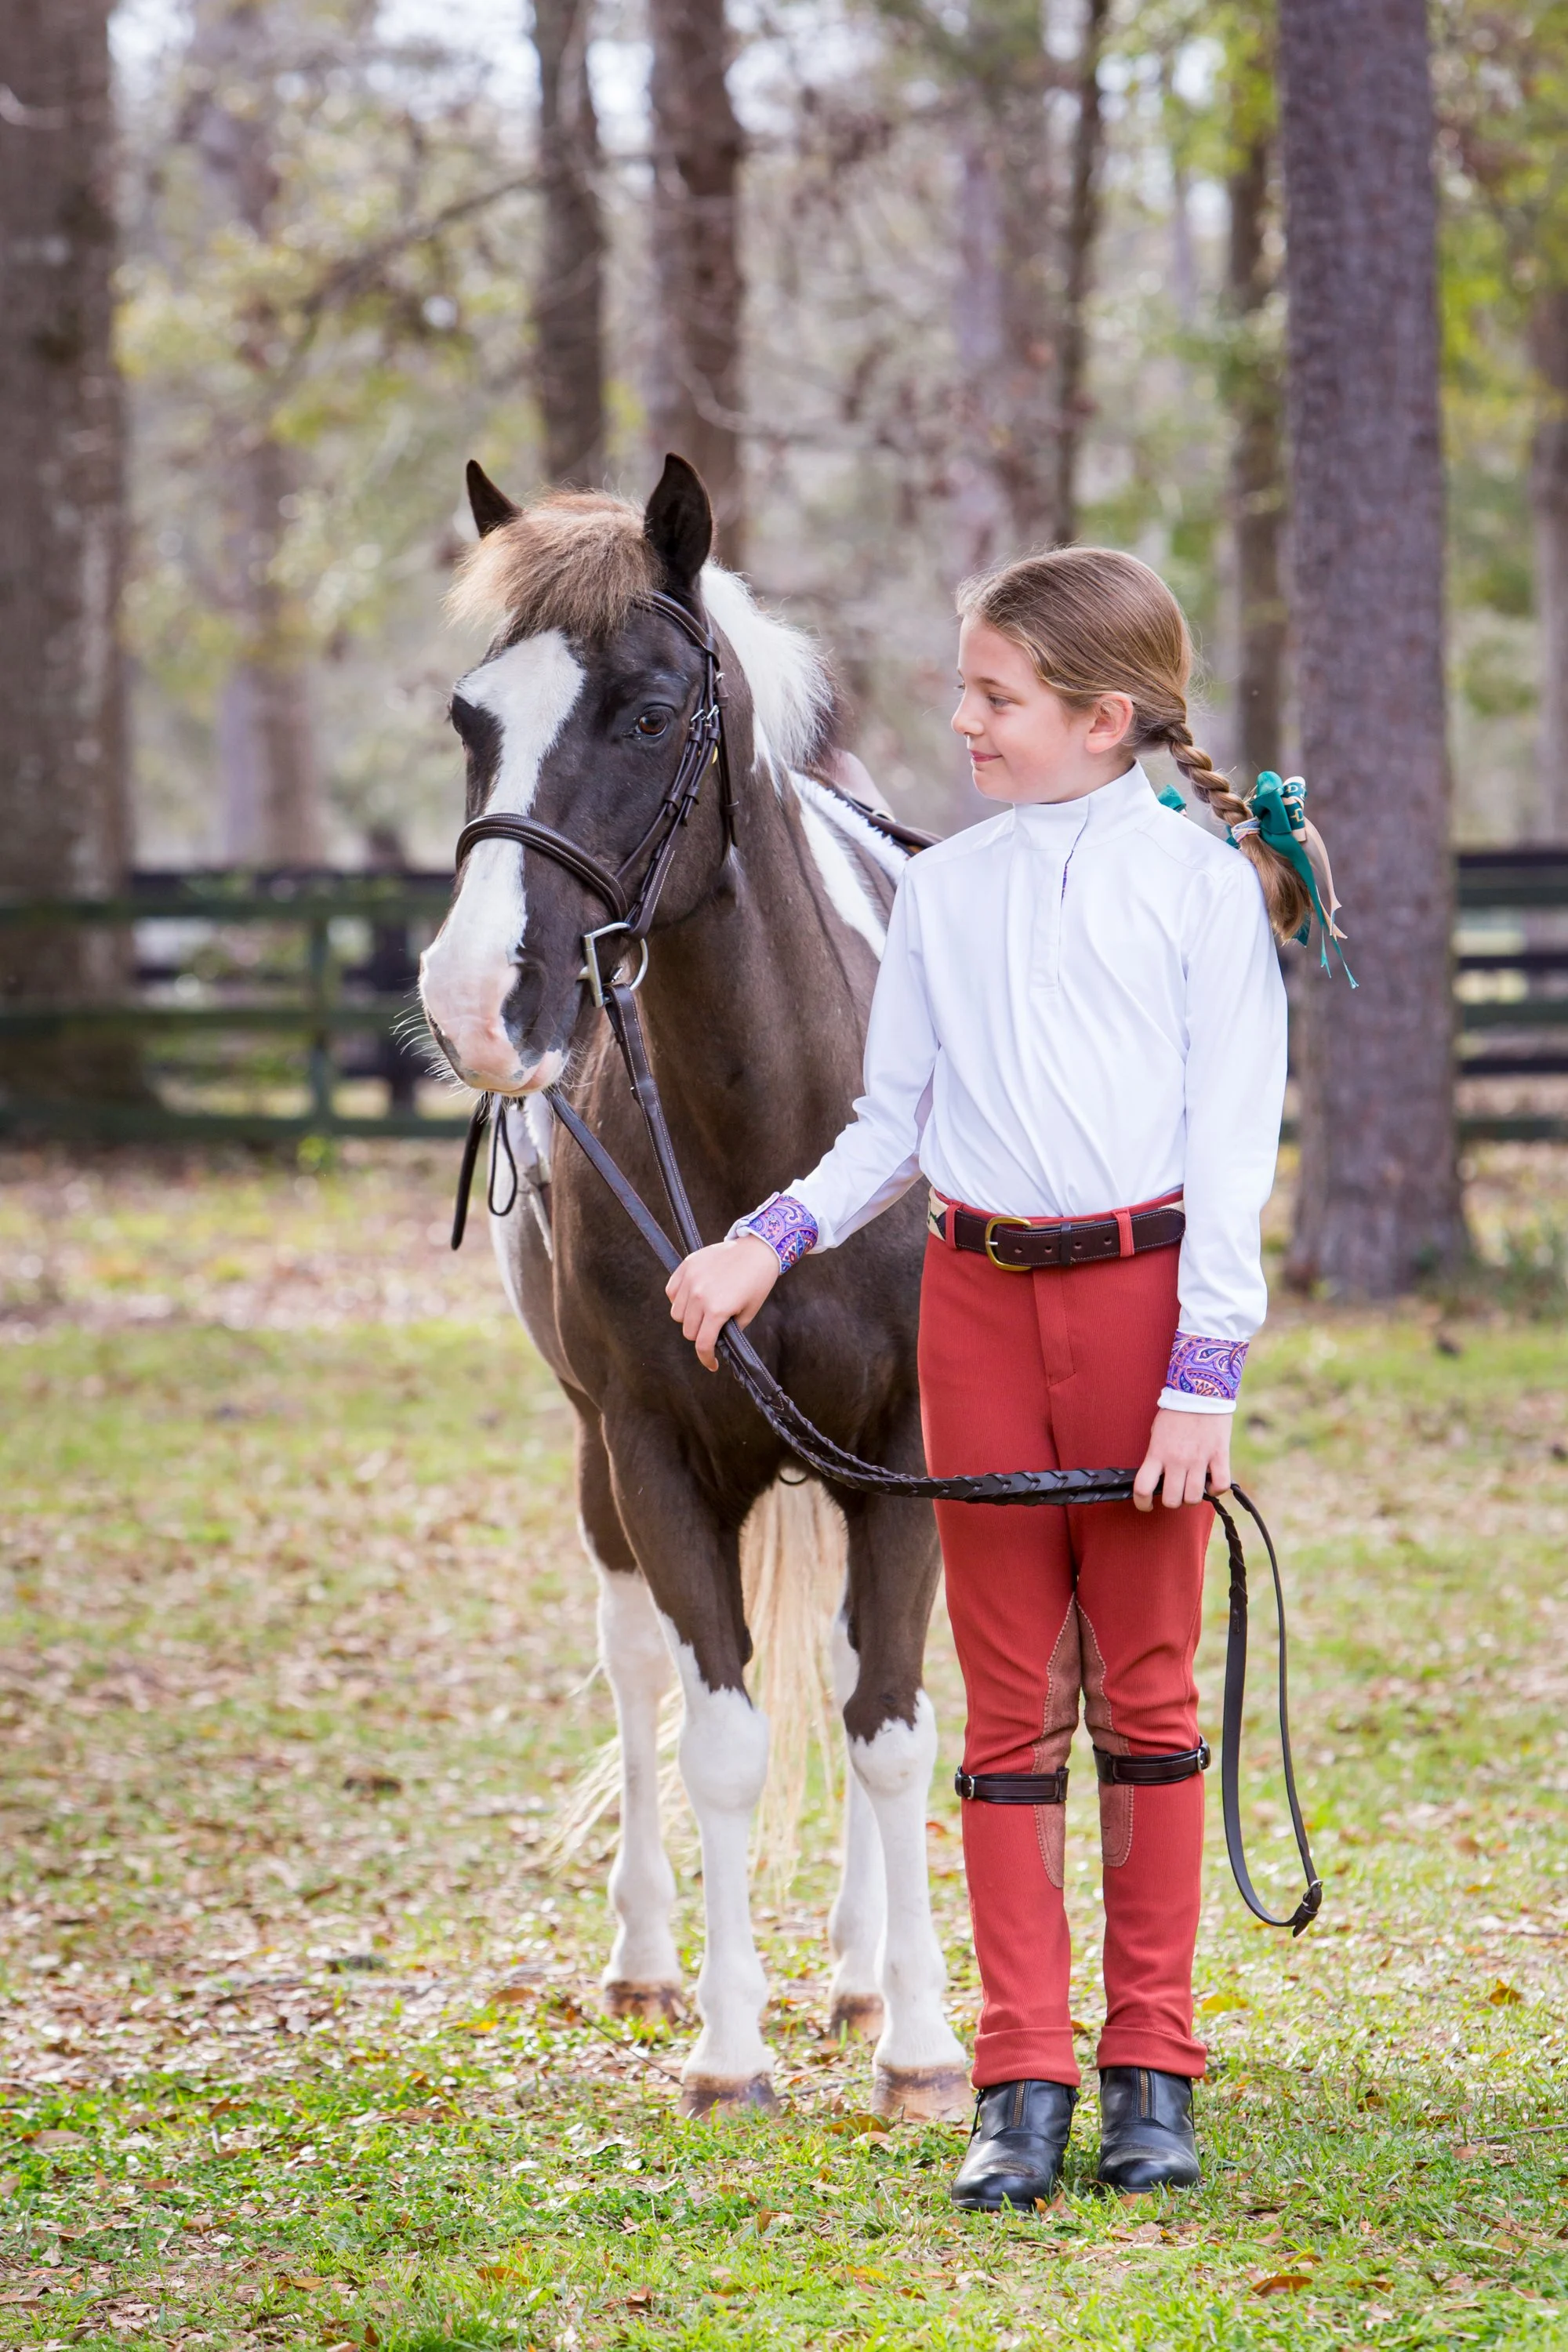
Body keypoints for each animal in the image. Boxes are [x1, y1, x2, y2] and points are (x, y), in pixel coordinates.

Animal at [418, 453, 969, 2121]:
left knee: (857, 1673)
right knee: (637, 1665)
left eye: (653, 712)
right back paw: (652, 1961)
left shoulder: (907, 1452)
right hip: (602, 1465)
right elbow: (714, 1729)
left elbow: (891, 1725)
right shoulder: (652, 1450)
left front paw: (924, 2043)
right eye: (470, 718)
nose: (471, 1002)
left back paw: (862, 1974)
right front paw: (728, 2049)